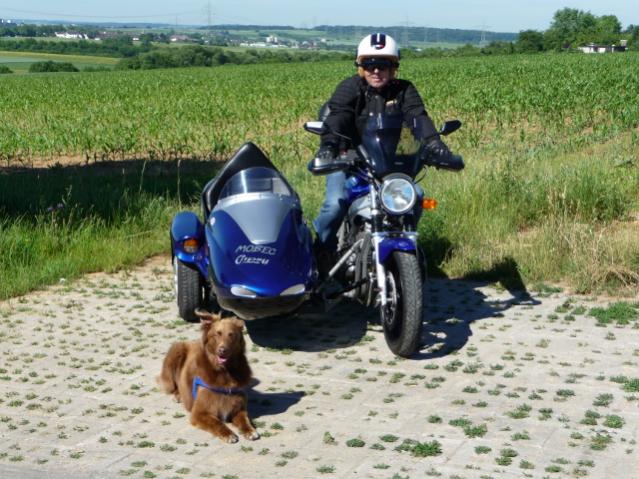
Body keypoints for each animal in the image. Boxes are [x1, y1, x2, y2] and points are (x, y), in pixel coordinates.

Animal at [158, 309, 259, 443]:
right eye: (217, 334)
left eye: (231, 335)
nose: (223, 350)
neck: (225, 373)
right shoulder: (199, 412)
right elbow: (216, 422)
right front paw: (228, 434)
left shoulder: (239, 408)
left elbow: (244, 419)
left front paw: (250, 431)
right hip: (177, 349)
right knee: (172, 385)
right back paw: (178, 395)